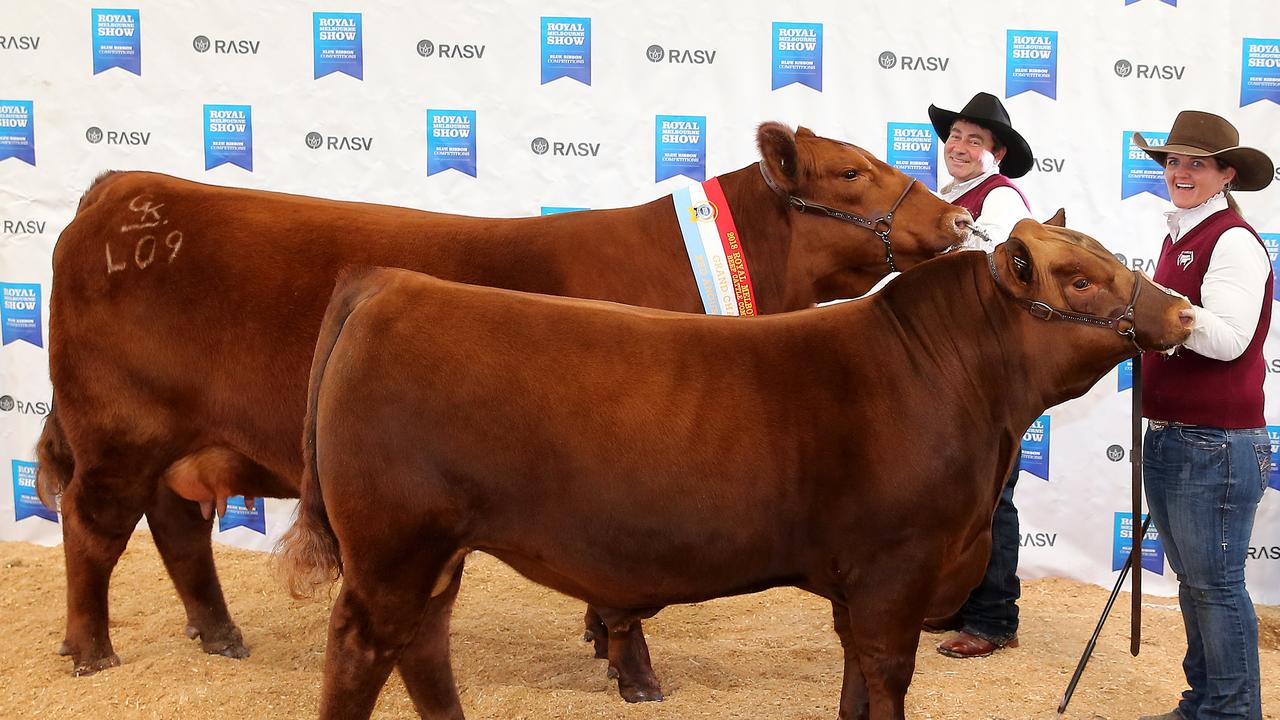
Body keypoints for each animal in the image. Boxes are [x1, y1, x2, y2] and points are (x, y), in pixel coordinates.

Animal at [32, 122, 967, 681]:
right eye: (851, 170)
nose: (958, 223)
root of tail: (124, 187)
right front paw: (633, 671)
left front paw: (601, 643)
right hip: (115, 427)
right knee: (93, 527)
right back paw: (88, 648)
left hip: (171, 437)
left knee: (175, 524)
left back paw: (219, 633)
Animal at [277, 220, 1187, 717]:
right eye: (1078, 279)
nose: (1181, 312)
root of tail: (390, 284)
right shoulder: (897, 572)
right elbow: (886, 681)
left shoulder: (860, 586)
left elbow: (855, 685)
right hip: (394, 547)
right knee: (362, 649)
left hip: (435, 553)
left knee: (423, 647)